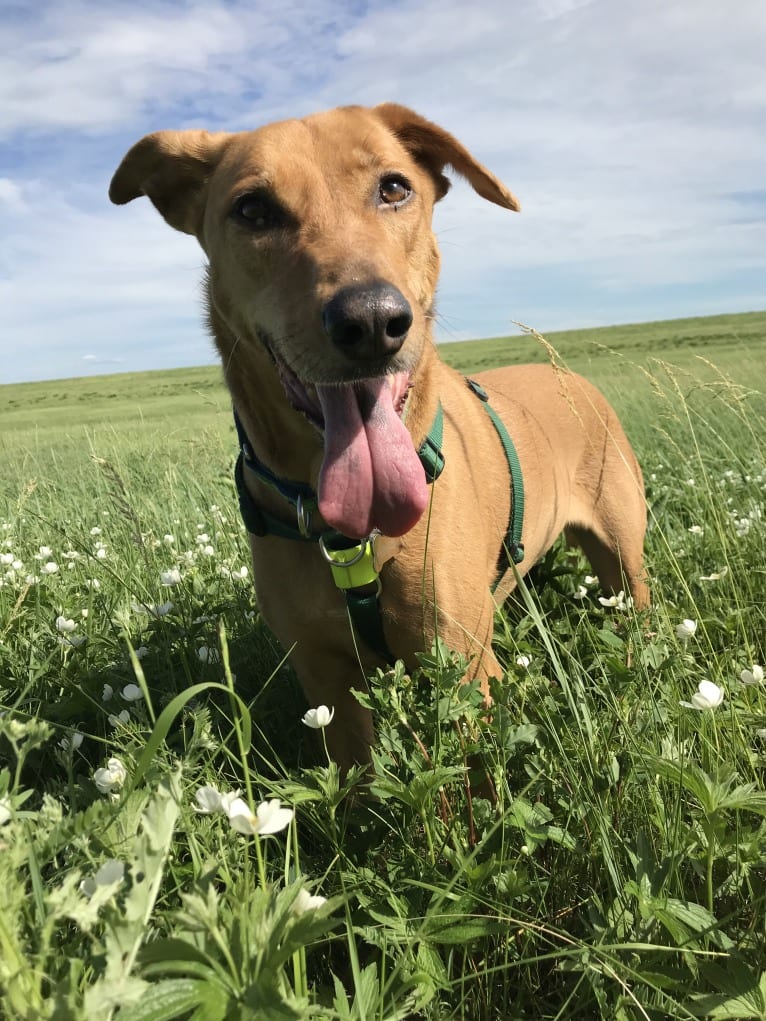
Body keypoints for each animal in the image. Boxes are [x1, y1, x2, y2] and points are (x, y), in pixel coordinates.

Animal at [110, 105, 649, 771]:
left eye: (394, 188)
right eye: (253, 209)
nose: (370, 321)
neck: (349, 536)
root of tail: (570, 375)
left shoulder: (461, 664)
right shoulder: (324, 677)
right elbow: (355, 778)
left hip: (624, 558)